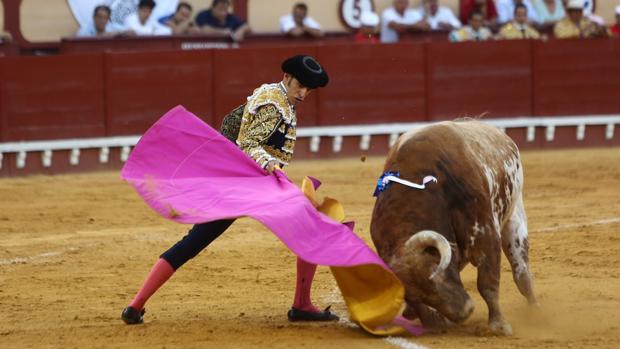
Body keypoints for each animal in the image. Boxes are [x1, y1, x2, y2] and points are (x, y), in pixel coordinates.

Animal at [372, 120, 536, 334]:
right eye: (409, 296)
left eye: (435, 273)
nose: (465, 312)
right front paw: (435, 321)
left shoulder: (485, 234)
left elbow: (487, 283)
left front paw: (499, 325)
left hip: (514, 215)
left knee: (522, 273)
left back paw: (535, 312)